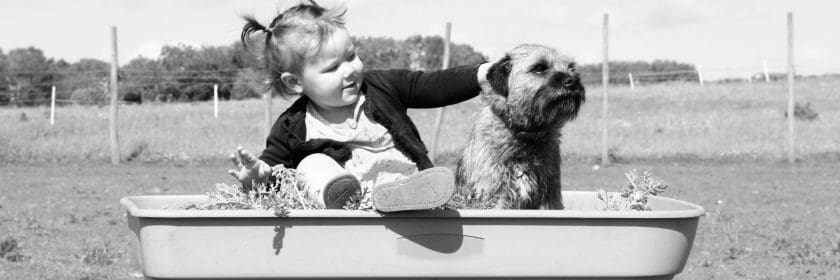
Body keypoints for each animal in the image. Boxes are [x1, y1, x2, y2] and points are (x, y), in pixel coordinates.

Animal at [456, 43, 588, 209]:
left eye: (572, 68)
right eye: (539, 68)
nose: (573, 81)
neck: (528, 135)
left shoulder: (550, 196)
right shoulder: (494, 198)